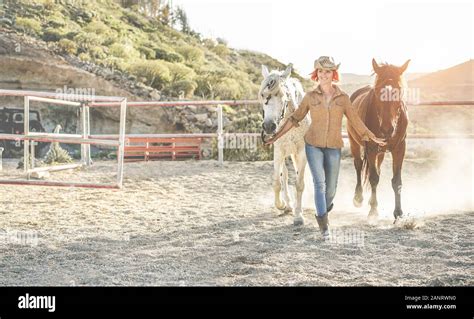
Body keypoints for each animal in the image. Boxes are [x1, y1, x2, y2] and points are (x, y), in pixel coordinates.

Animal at [260, 63, 312, 226]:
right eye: (263, 96)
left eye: (283, 96)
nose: (269, 126)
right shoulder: (279, 151)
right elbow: (277, 182)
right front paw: (282, 205)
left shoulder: (302, 152)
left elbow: (299, 184)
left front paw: (298, 216)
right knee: (285, 175)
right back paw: (288, 205)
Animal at [348, 58, 412, 222]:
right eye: (377, 91)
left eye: (399, 90)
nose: (387, 129)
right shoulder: (371, 148)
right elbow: (373, 178)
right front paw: (373, 210)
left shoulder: (400, 149)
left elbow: (396, 181)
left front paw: (398, 212)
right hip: (354, 142)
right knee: (358, 165)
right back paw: (358, 198)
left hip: (381, 152)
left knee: (377, 167)